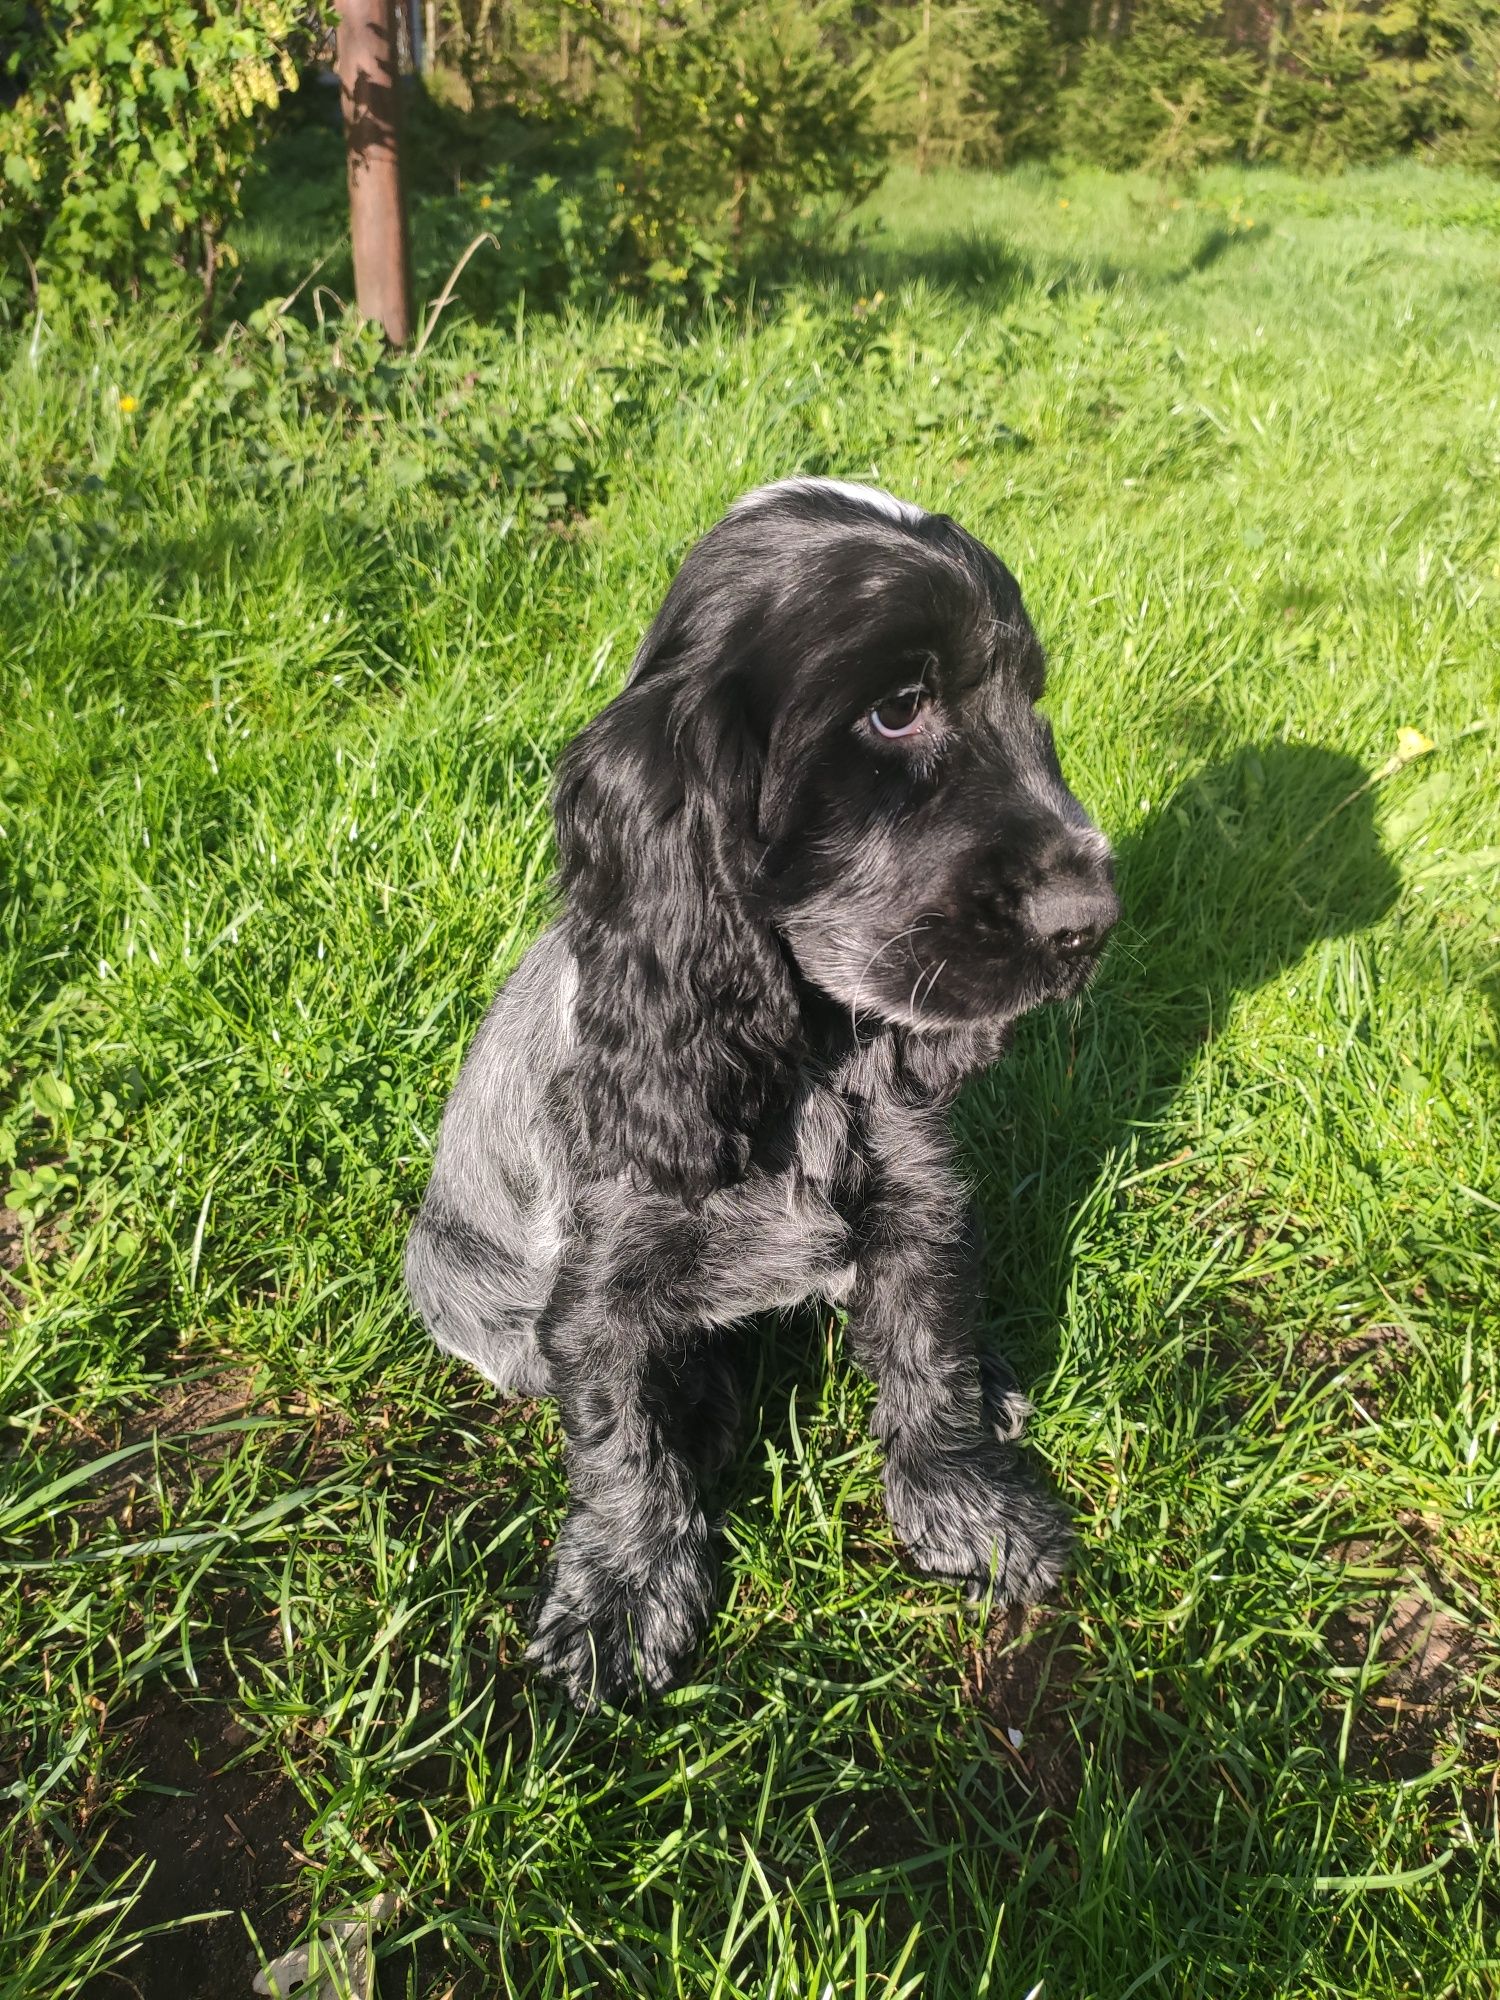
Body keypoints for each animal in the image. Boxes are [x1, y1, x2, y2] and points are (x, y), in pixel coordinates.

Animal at [406, 480, 1120, 1704]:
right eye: (897, 711)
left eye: (1029, 704)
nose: (1094, 921)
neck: (805, 1059)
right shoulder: (600, 1286)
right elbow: (621, 1448)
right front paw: (620, 1600)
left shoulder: (917, 1205)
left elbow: (927, 1363)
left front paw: (969, 1512)